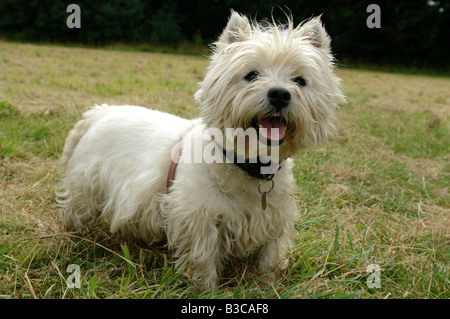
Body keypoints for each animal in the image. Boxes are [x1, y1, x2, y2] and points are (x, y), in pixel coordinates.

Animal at [57, 11, 344, 290]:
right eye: (251, 75)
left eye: (300, 80)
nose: (280, 94)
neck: (247, 164)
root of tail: (100, 112)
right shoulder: (199, 221)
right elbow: (203, 260)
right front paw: (207, 289)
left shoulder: (273, 218)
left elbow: (271, 257)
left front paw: (268, 284)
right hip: (87, 185)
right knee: (74, 212)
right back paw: (71, 240)